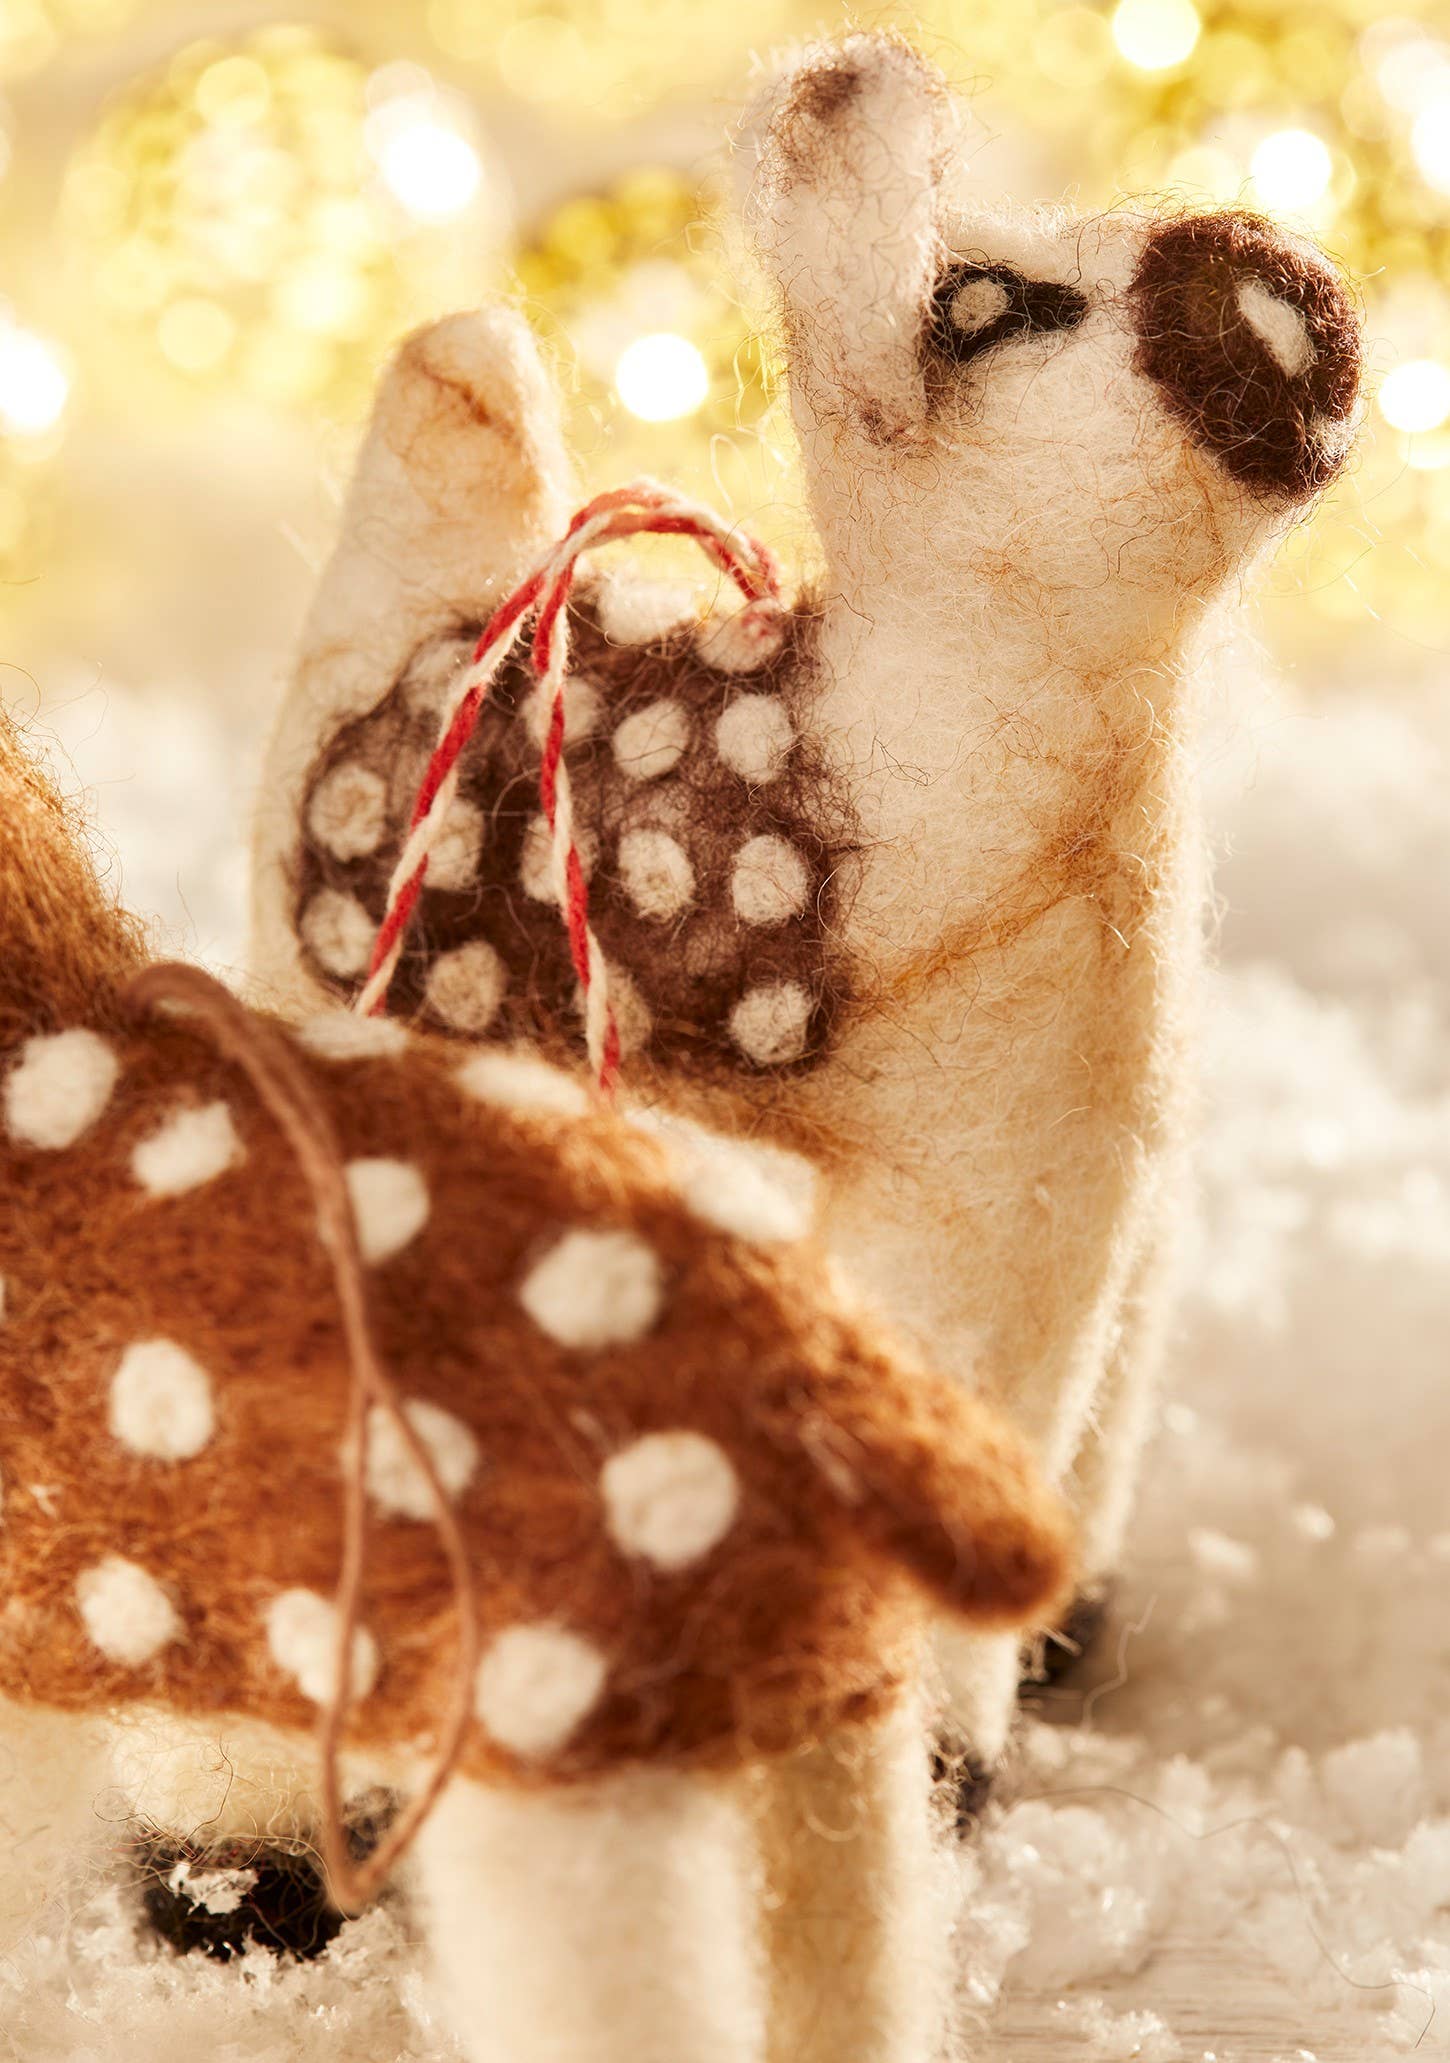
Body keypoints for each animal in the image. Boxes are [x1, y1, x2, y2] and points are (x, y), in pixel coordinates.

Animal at [255, 28, 1369, 1774]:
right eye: (985, 305)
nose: (1272, 273)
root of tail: (390, 622)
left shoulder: (1120, 1163)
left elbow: (1098, 1417)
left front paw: (1064, 1646)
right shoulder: (986, 1195)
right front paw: (950, 1761)